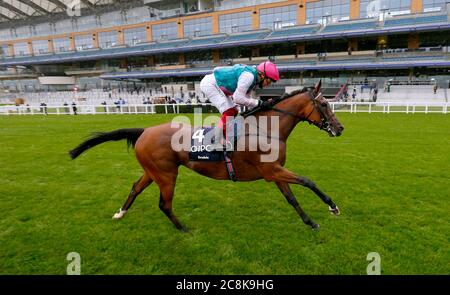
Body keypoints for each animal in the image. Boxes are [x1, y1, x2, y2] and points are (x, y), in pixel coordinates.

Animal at [70, 81, 342, 231]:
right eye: (325, 105)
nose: (340, 128)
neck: (267, 129)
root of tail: (144, 131)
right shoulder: (272, 171)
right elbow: (308, 181)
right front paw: (332, 206)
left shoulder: (274, 171)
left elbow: (292, 199)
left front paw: (310, 222)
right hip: (166, 174)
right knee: (164, 204)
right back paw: (183, 228)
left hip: (152, 171)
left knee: (136, 188)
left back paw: (121, 212)